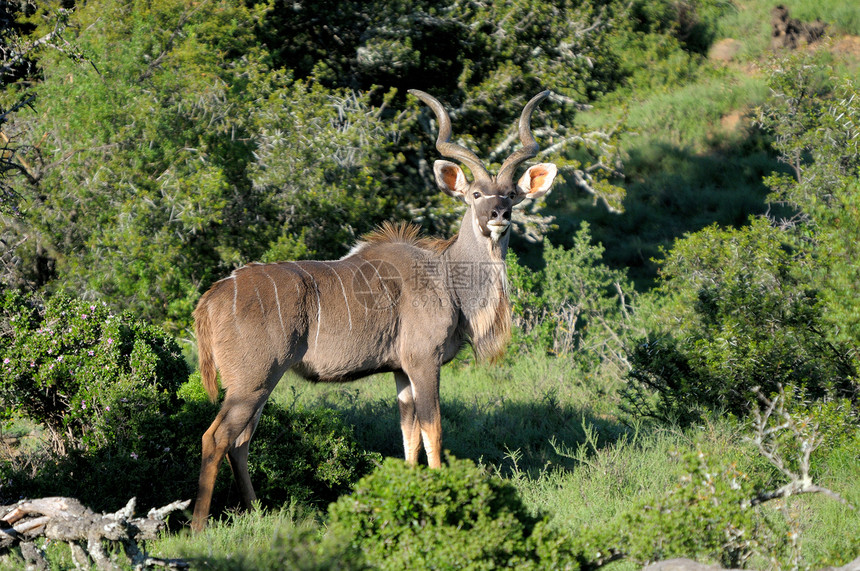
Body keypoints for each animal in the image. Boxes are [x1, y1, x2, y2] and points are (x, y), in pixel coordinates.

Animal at [188, 89, 556, 532]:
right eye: (476, 195)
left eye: (511, 194)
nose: (498, 215)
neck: (446, 276)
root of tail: (211, 298)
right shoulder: (423, 361)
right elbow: (433, 431)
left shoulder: (400, 371)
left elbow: (408, 436)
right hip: (252, 381)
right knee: (216, 437)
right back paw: (198, 527)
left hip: (258, 384)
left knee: (240, 441)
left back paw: (256, 512)